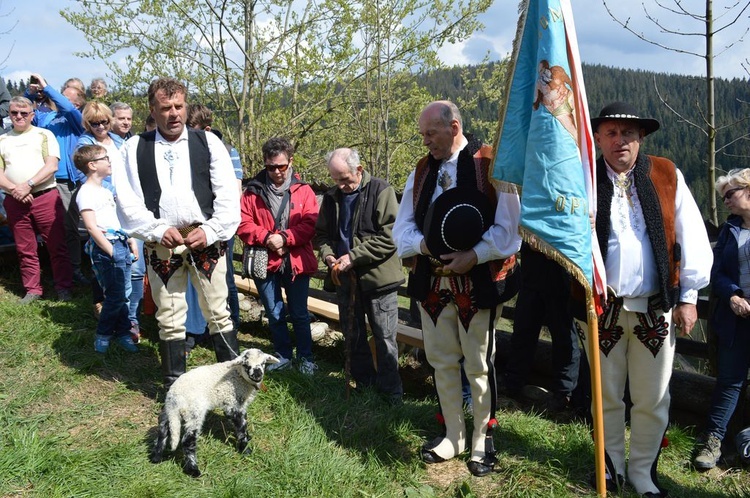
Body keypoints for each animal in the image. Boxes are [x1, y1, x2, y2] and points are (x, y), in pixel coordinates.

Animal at [151, 348, 280, 476]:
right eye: (246, 365)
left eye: (263, 363)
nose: (258, 375)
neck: (238, 375)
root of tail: (174, 397)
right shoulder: (233, 405)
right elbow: (241, 428)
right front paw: (245, 449)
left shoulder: (237, 406)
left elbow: (243, 422)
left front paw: (247, 437)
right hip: (193, 413)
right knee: (187, 441)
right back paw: (193, 470)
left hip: (169, 413)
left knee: (162, 431)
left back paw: (156, 457)